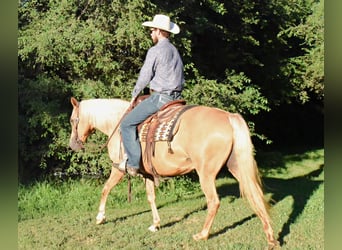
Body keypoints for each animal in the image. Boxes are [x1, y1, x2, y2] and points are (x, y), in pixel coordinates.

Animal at [68, 96, 280, 248]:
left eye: (72, 120)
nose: (72, 145)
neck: (116, 125)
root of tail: (228, 117)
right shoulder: (147, 174)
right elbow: (151, 197)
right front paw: (155, 224)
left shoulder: (118, 169)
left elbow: (105, 189)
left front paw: (100, 217)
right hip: (236, 166)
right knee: (255, 195)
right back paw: (270, 237)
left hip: (206, 174)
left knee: (214, 202)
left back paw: (202, 235)